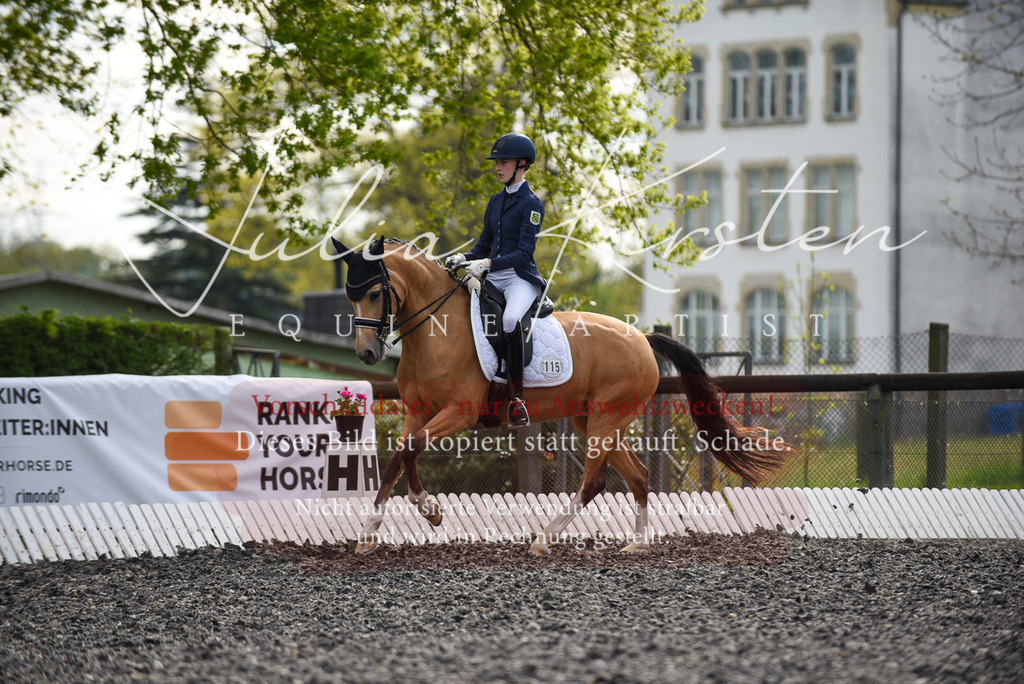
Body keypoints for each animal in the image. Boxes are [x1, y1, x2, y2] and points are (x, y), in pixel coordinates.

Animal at [333, 236, 791, 555]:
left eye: (374, 293)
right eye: (350, 296)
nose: (367, 353)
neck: (437, 327)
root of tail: (641, 338)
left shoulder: (458, 413)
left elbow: (408, 451)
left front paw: (429, 510)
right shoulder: (417, 411)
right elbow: (398, 459)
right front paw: (373, 534)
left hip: (606, 418)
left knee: (594, 481)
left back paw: (544, 539)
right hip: (594, 420)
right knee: (639, 476)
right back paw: (638, 544)